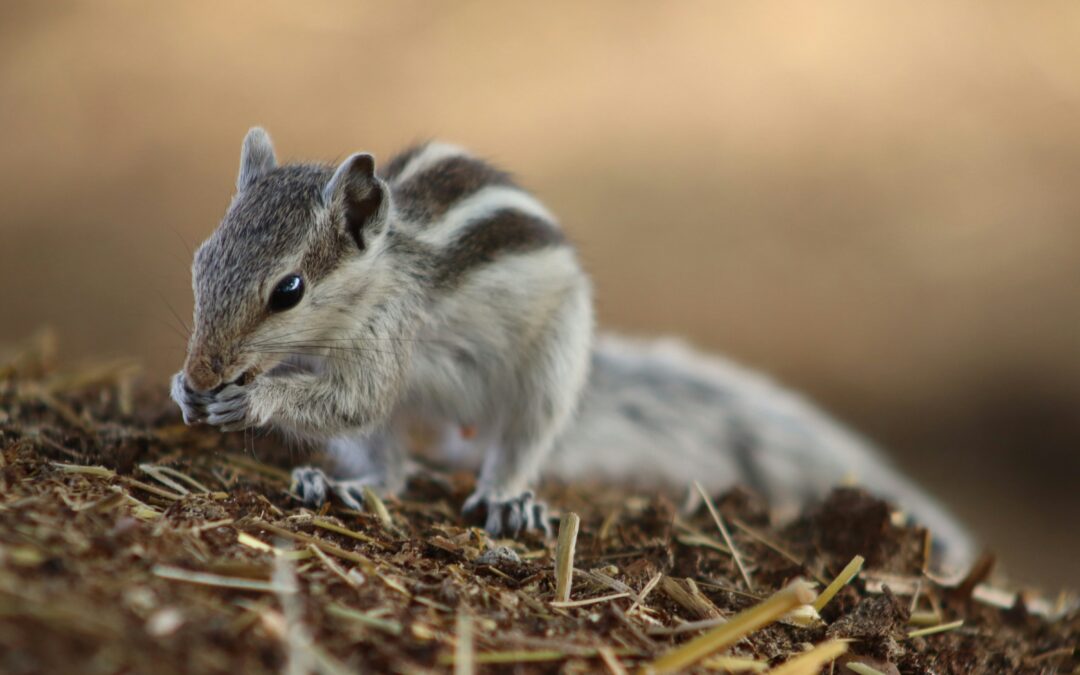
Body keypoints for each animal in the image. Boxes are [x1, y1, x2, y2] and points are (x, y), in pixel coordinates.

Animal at [172, 128, 975, 571]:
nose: (203, 370)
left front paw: (253, 398)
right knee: (392, 470)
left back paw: (506, 501)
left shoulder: (383, 342)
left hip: (548, 376)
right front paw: (190, 392)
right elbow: (348, 413)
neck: (374, 279)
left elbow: (350, 400)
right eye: (201, 258)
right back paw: (343, 484)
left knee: (517, 446)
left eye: (289, 289)